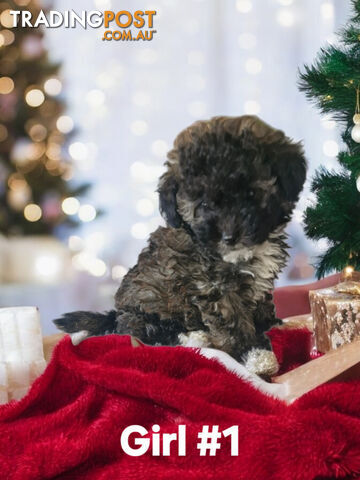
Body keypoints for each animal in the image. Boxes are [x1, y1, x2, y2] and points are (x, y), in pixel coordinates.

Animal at [54, 116, 306, 376]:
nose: (229, 236)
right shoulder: (214, 288)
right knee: (148, 332)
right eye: (203, 204)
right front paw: (255, 355)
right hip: (146, 306)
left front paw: (272, 323)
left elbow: (262, 302)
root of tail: (115, 314)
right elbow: (234, 322)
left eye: (251, 193)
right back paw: (194, 337)